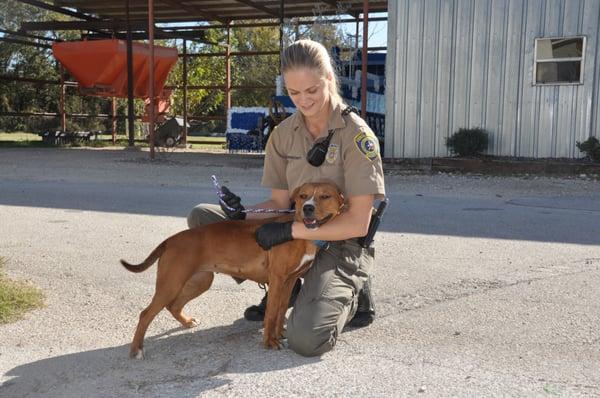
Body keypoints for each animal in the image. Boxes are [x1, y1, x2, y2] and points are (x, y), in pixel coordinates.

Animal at [120, 182, 342, 360]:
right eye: (303, 196)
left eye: (325, 196)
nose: (308, 208)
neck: (299, 233)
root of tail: (171, 240)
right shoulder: (278, 280)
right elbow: (271, 314)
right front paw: (269, 342)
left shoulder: (289, 281)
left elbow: (279, 312)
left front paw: (278, 334)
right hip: (171, 284)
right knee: (145, 314)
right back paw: (136, 349)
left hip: (200, 281)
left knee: (173, 306)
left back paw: (187, 321)